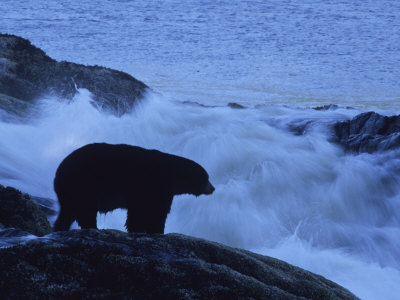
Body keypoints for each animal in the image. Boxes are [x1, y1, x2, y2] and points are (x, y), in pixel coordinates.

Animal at [54, 144, 216, 234]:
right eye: (207, 177)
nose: (213, 188)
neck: (173, 175)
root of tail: (59, 171)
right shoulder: (154, 186)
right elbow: (153, 210)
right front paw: (153, 229)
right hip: (84, 184)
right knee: (85, 209)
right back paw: (92, 227)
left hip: (70, 191)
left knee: (68, 211)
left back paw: (60, 227)